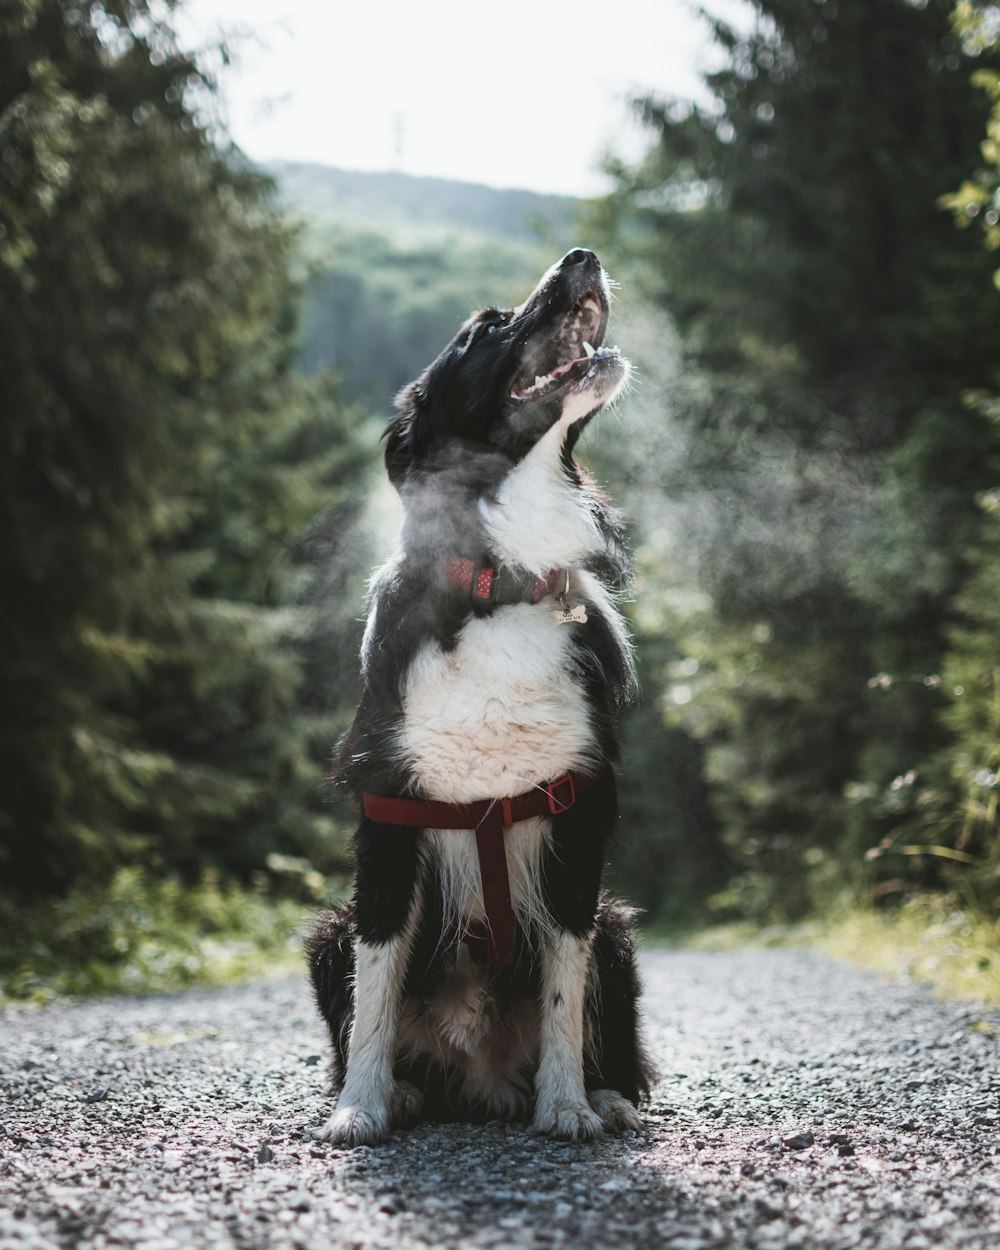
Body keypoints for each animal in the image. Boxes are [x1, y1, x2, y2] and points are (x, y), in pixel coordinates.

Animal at [312, 248, 655, 1145]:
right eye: (486, 331)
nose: (583, 255)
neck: (502, 584)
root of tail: (481, 1080)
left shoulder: (578, 824)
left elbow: (565, 997)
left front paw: (567, 1107)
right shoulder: (389, 822)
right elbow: (374, 995)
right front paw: (360, 1108)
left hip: (617, 931)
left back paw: (604, 1098)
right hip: (328, 934)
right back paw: (403, 1093)